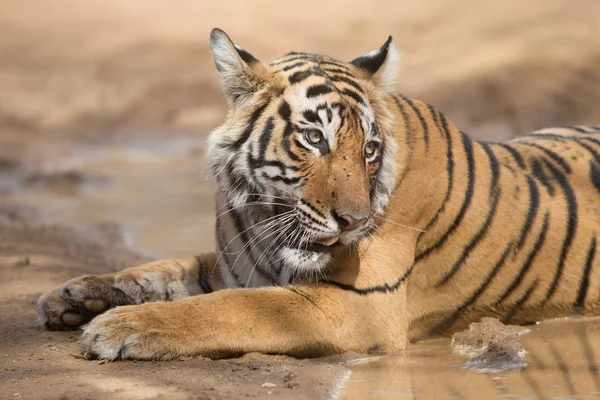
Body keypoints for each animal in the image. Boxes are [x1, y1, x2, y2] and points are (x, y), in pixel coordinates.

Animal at [37, 27, 600, 360]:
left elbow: (228, 309)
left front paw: (121, 328)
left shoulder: (357, 305)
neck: (261, 217)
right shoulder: (229, 262)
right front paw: (72, 295)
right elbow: (163, 270)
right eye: (313, 138)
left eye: (370, 149)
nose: (354, 221)